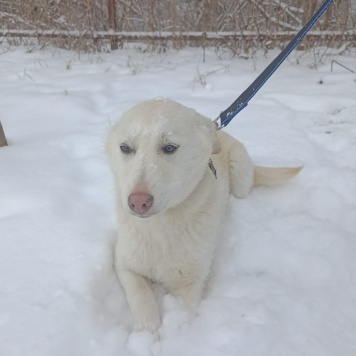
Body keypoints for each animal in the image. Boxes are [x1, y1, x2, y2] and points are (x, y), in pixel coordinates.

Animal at [105, 99, 300, 330]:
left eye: (169, 147)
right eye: (125, 148)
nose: (137, 202)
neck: (161, 228)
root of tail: (218, 128)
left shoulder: (189, 284)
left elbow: (183, 316)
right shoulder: (125, 265)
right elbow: (142, 300)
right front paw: (148, 332)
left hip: (240, 176)